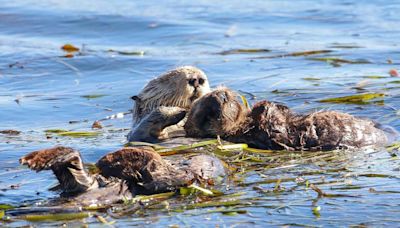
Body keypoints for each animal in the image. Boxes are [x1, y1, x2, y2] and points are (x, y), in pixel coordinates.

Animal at [185, 88, 390, 151]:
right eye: (207, 116)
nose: (220, 97)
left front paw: (266, 105)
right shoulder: (260, 136)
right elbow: (277, 130)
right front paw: (263, 108)